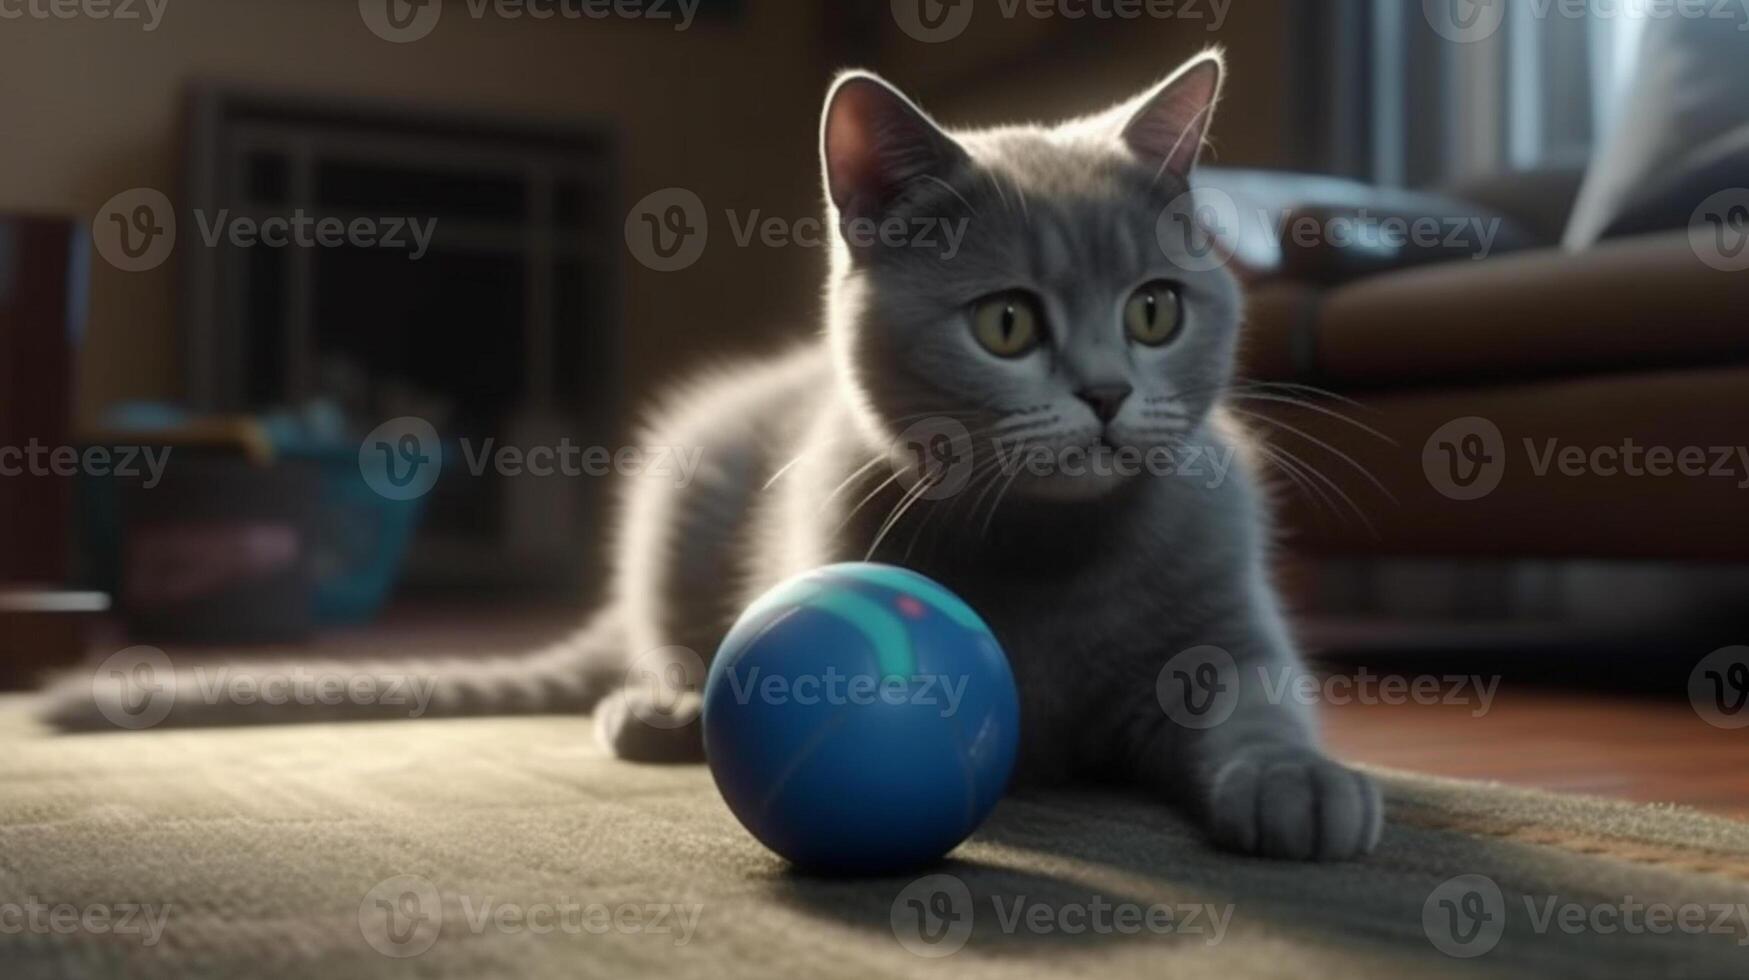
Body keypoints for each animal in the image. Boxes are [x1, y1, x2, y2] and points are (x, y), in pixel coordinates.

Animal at [44, 53, 1378, 861]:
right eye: (1007, 324)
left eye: (1156, 310)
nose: (1107, 392)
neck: (1052, 550)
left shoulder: (1228, 618)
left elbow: (1258, 695)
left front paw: (1302, 781)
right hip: (684, 480)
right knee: (666, 641)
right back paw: (662, 705)